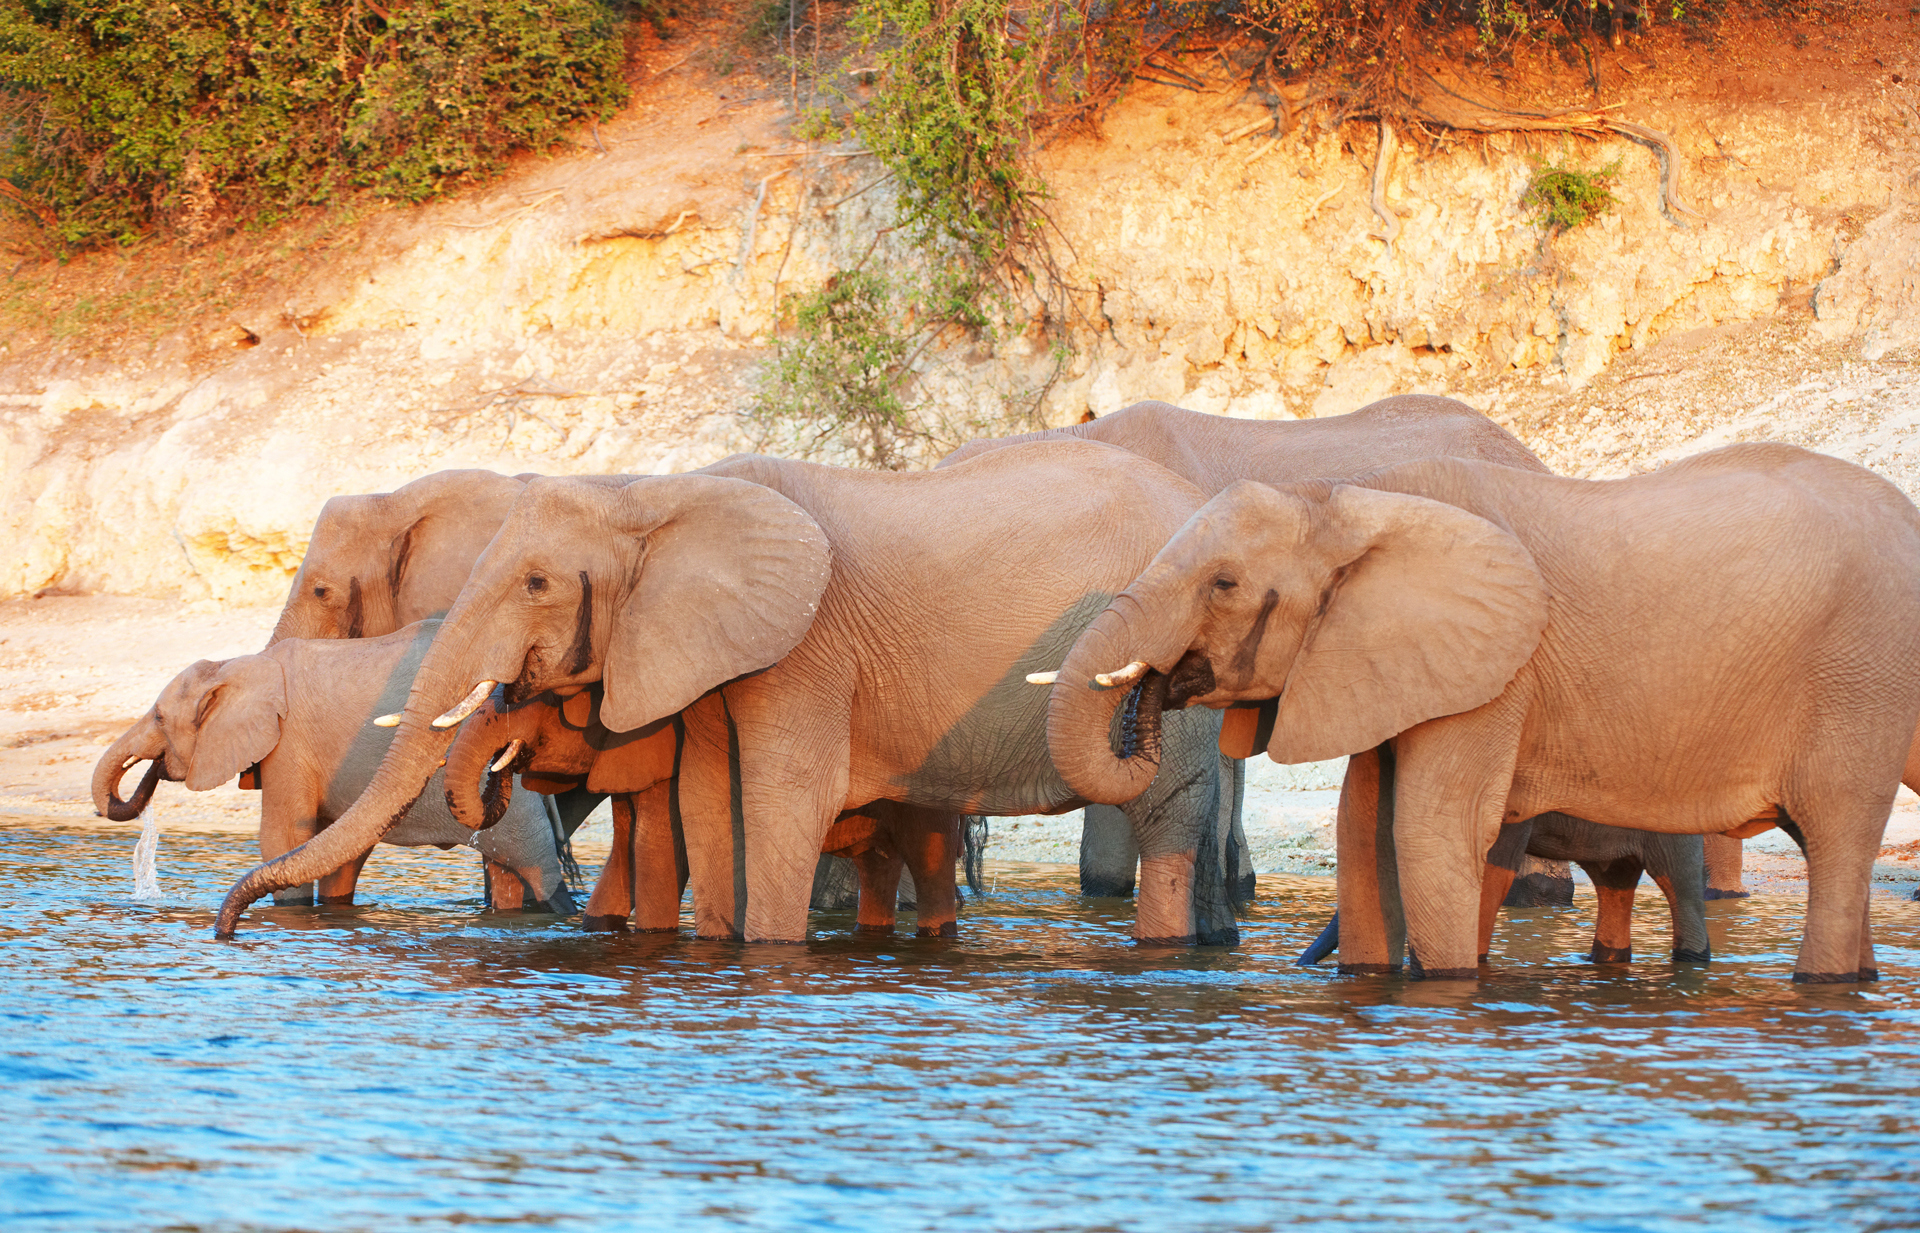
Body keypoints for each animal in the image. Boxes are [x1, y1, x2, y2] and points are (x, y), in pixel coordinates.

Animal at [94, 620, 576, 912]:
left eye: (159, 717)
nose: (154, 770)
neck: (240, 665)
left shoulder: (289, 745)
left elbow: (283, 838)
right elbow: (335, 854)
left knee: (535, 867)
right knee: (507, 872)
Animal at [213, 440, 1241, 946]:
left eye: (539, 583)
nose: (224, 929)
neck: (653, 494)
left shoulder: (807, 647)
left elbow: (782, 805)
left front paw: (770, 954)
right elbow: (709, 805)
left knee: (1165, 821)